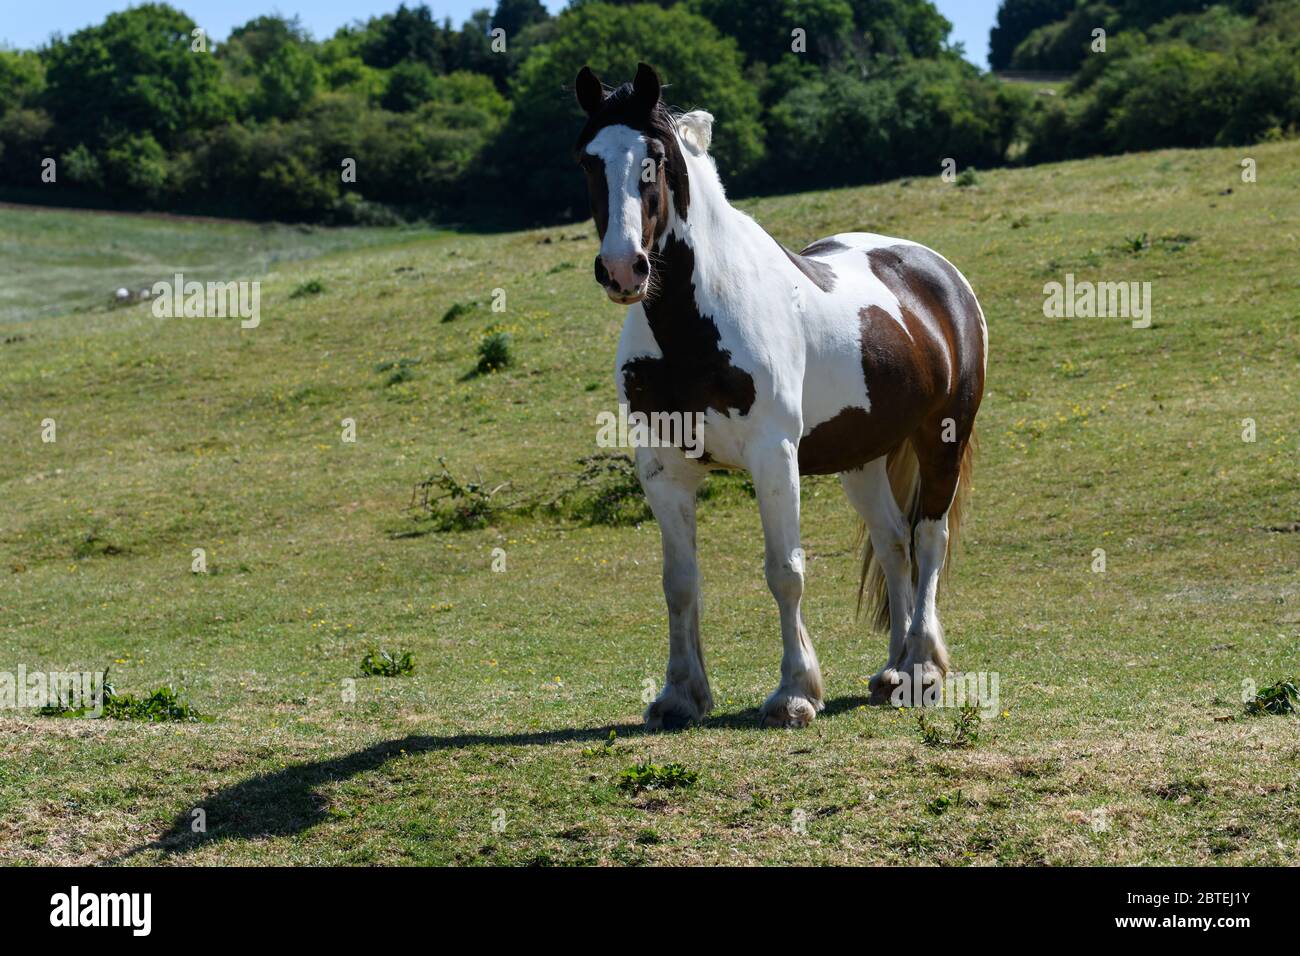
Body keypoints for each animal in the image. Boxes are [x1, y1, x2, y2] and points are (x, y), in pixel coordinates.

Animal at [574, 63, 987, 729]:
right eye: (588, 160)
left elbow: (785, 571)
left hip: (941, 439)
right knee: (893, 543)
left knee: (929, 540)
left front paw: (795, 692)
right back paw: (893, 670)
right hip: (863, 457)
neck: (695, 322)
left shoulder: (774, 457)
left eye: (653, 161)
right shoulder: (662, 466)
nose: (622, 269)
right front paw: (680, 695)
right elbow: (679, 581)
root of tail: (936, 273)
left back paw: (923, 667)